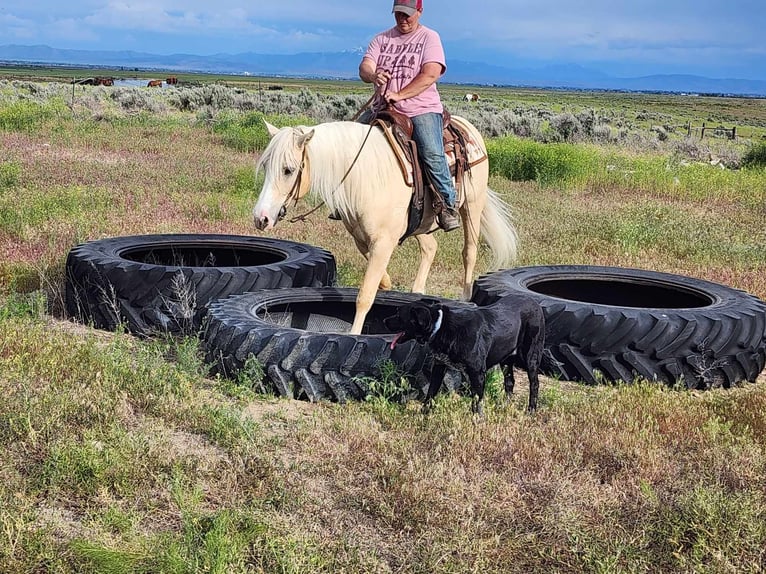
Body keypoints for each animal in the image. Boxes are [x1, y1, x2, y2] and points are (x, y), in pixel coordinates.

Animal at [255, 118, 520, 338]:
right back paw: (417, 290)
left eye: (288, 170)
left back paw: (465, 297)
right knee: (430, 247)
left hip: (472, 207)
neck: (364, 177)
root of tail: (466, 125)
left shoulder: (383, 243)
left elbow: (364, 296)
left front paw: (353, 335)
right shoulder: (364, 241)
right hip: (422, 224)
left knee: (469, 252)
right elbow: (381, 283)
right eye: (266, 166)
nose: (261, 218)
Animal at [390, 296, 544, 414]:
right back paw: (505, 406)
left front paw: (477, 420)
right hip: (506, 360)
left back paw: (531, 410)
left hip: (531, 357)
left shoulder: (477, 372)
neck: (440, 326)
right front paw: (424, 413)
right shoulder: (439, 367)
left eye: (398, 315)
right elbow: (431, 393)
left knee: (534, 384)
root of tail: (534, 301)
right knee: (510, 382)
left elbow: (477, 402)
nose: (386, 321)